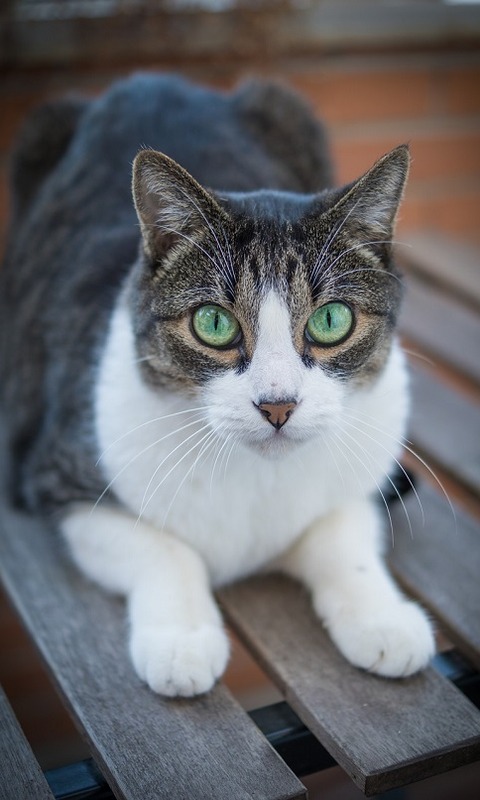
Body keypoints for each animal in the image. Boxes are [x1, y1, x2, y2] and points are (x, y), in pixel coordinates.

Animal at [0, 76, 436, 700]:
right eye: (213, 323)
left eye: (331, 320)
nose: (278, 405)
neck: (257, 478)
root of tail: (152, 77)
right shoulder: (56, 476)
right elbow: (163, 548)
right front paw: (182, 641)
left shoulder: (360, 469)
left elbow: (342, 533)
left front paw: (384, 619)